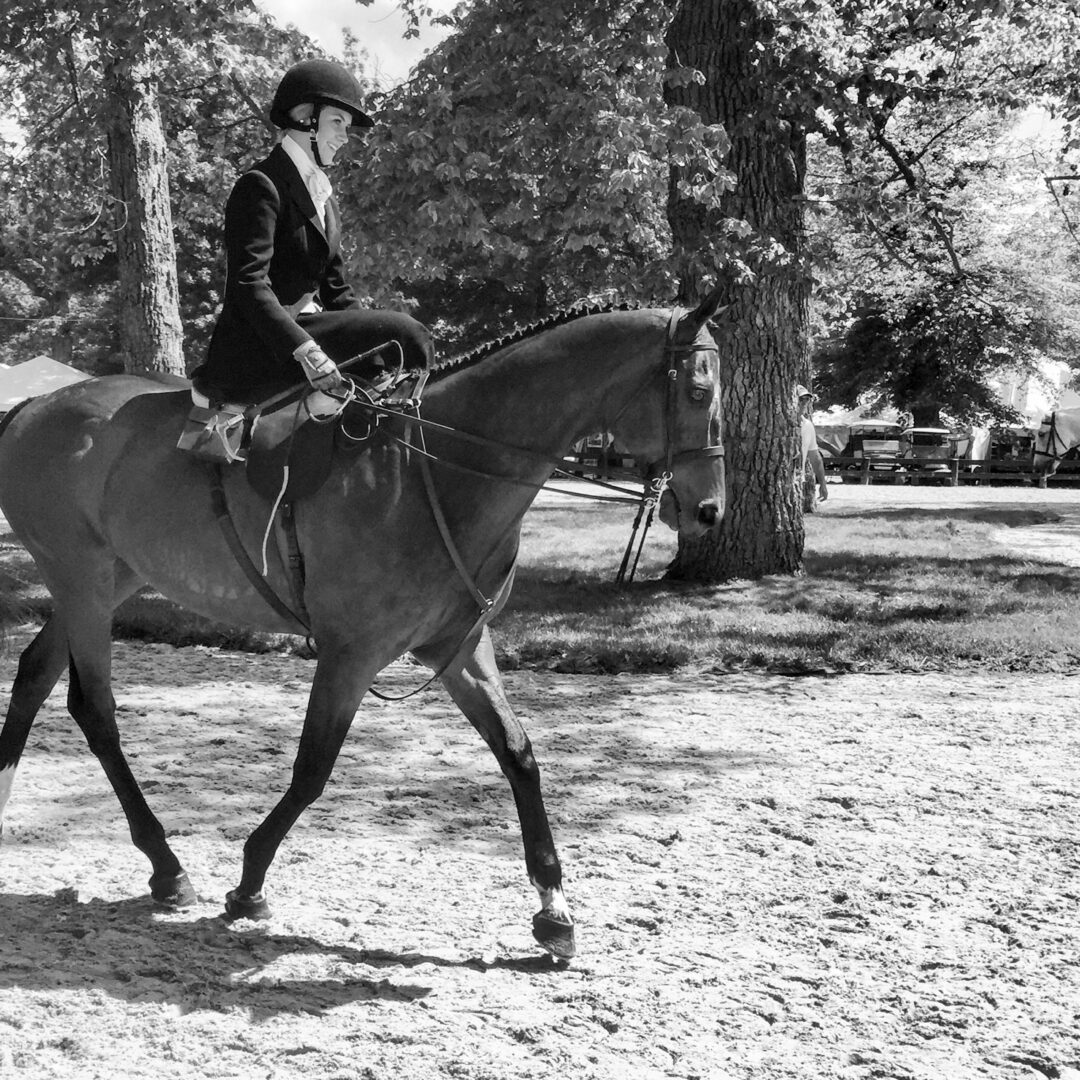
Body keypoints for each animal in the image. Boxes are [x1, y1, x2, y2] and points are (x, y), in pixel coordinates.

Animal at [2, 291, 725, 959]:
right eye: (697, 391)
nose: (710, 511)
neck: (432, 471)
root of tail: (34, 407)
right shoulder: (351, 654)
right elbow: (313, 770)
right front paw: (251, 881)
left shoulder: (459, 646)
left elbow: (518, 753)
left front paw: (553, 906)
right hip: (82, 579)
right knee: (93, 708)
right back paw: (167, 864)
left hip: (107, 580)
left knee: (35, 673)